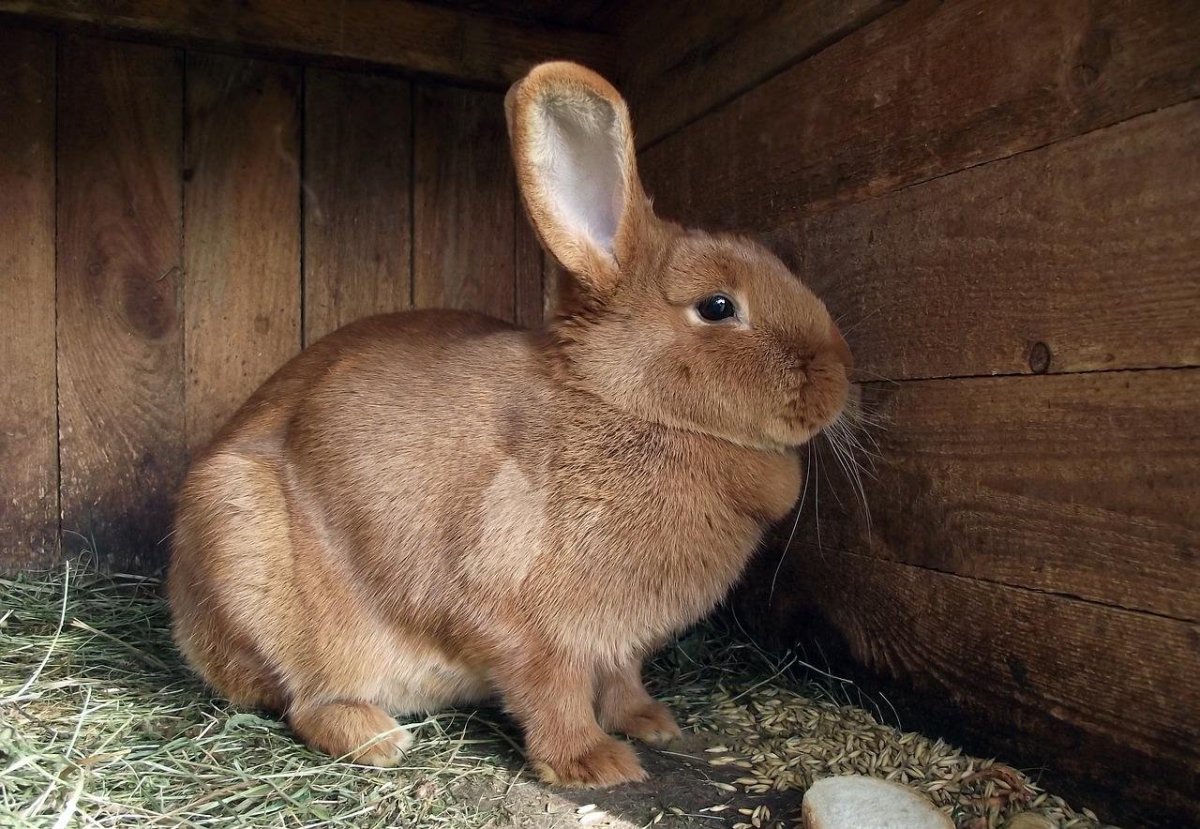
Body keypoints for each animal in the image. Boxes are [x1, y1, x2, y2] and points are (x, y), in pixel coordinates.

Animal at [166, 61, 852, 788]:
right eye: (718, 306)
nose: (839, 376)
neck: (625, 403)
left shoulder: (618, 641)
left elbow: (622, 680)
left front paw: (650, 722)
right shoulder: (518, 611)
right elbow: (549, 688)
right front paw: (596, 764)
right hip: (248, 553)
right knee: (303, 697)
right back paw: (376, 737)